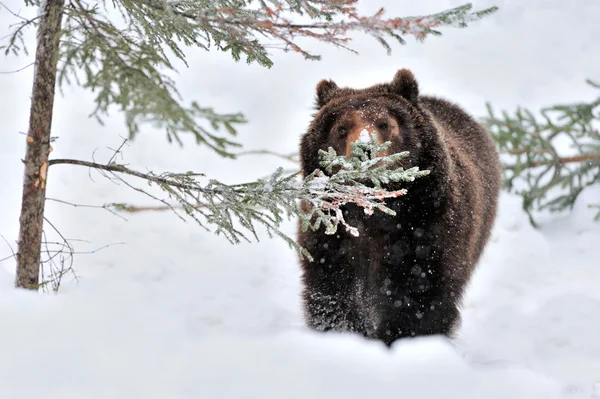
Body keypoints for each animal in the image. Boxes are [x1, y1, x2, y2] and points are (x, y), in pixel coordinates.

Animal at [296, 69, 502, 346]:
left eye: (384, 123)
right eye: (341, 128)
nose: (365, 149)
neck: (372, 210)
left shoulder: (424, 231)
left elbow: (417, 297)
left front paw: (401, 338)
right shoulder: (330, 236)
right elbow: (334, 294)